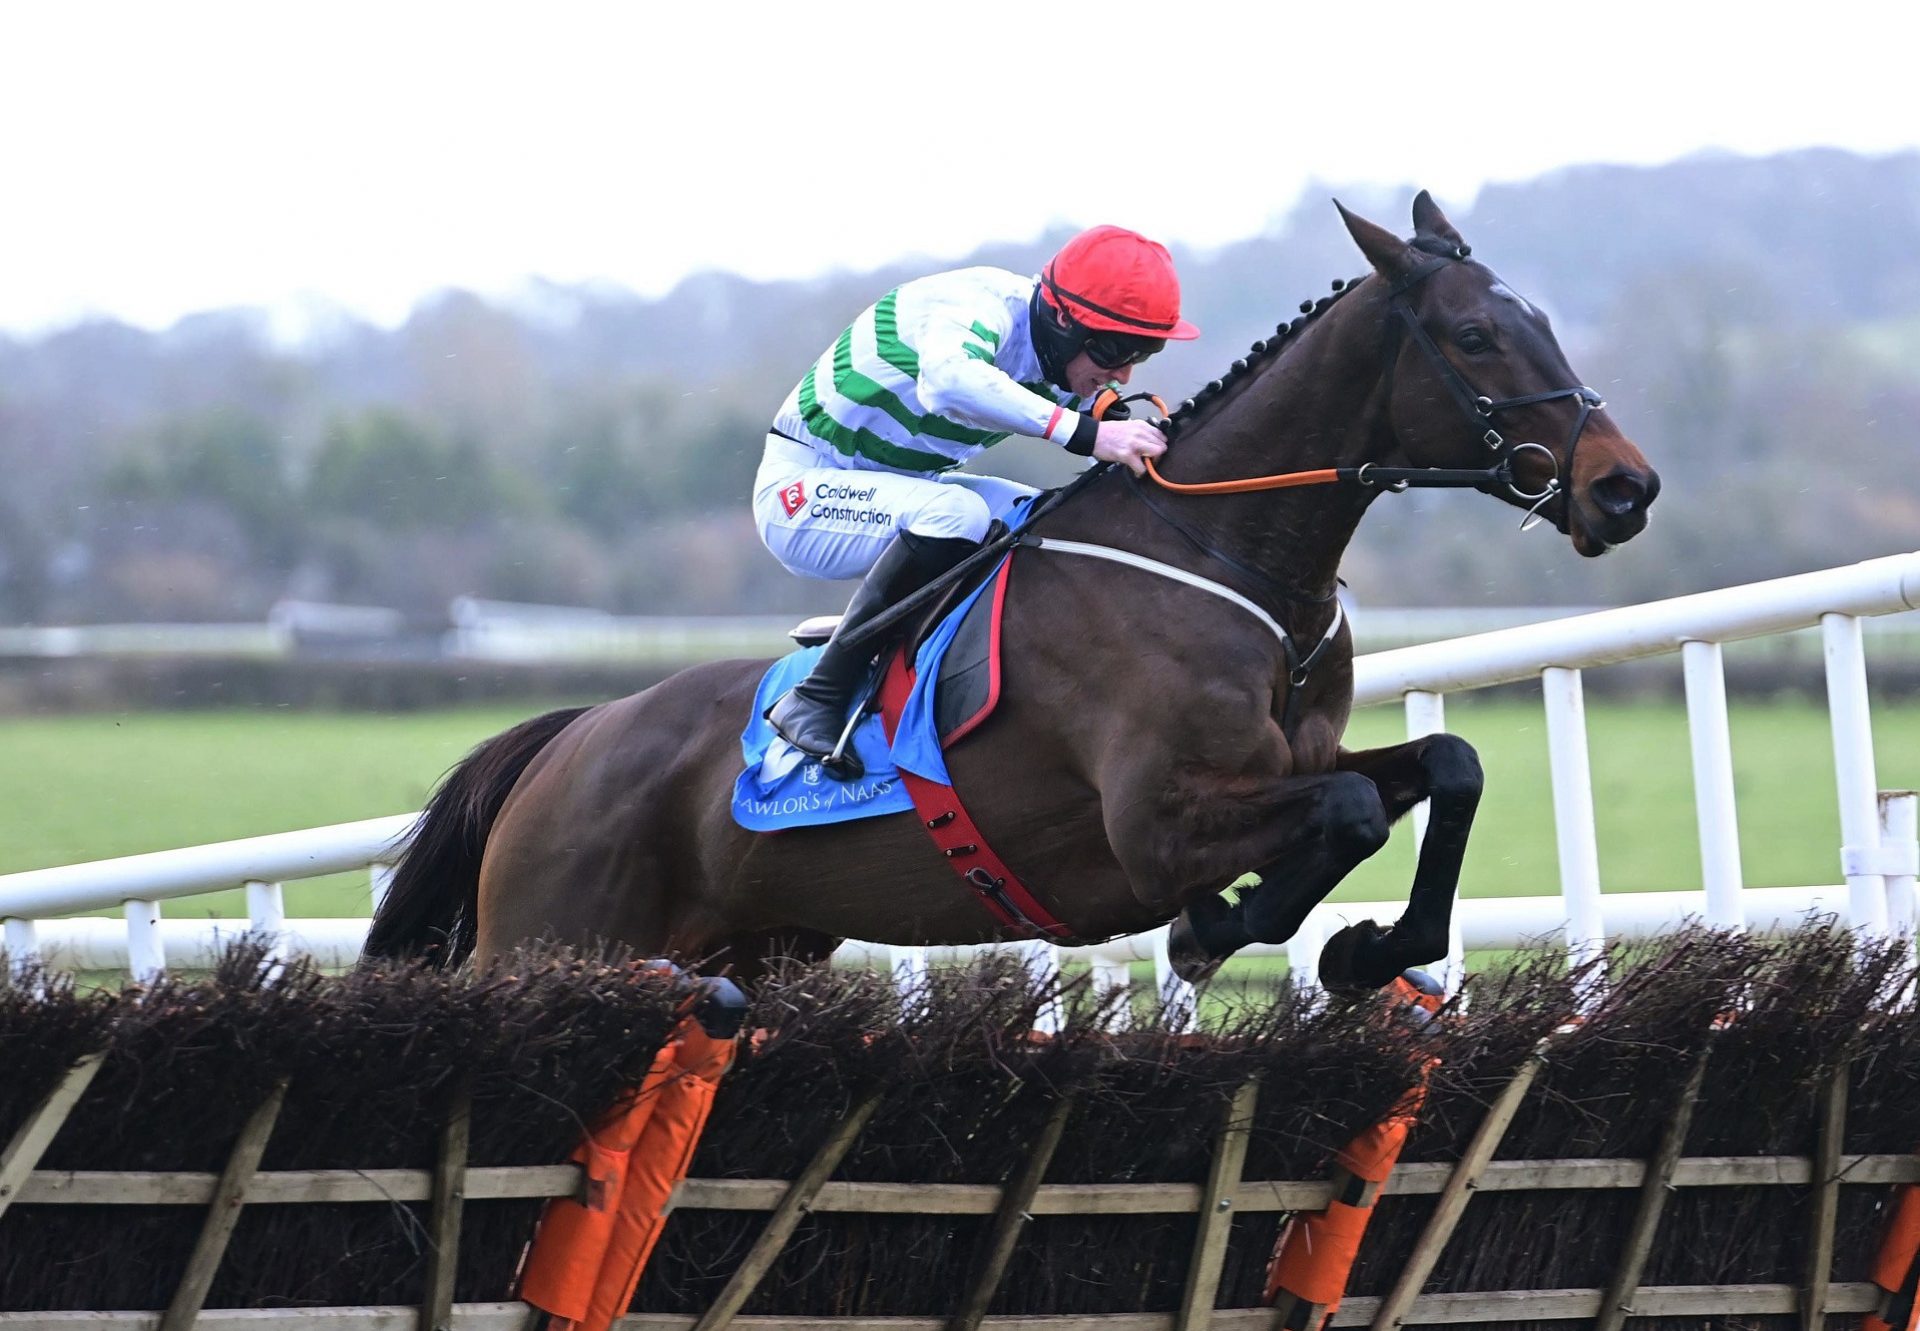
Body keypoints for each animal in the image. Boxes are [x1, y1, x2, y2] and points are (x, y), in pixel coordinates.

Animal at [366, 194, 1658, 983]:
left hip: (752, 947)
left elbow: (1447, 765)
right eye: (1478, 337)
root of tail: (571, 736)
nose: (1624, 486)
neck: (1224, 558)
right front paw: (1228, 923)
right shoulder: (1153, 824)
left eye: (1543, 318)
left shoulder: (1293, 758)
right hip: (553, 936)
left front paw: (1365, 947)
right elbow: (1338, 817)